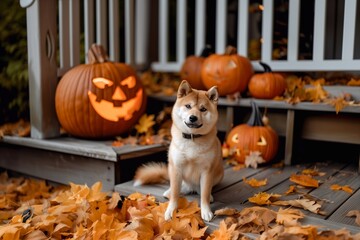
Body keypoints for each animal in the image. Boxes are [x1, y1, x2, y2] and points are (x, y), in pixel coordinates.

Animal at [134, 80, 224, 221]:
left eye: (203, 109)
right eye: (188, 106)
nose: (193, 117)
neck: (192, 138)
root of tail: (191, 187)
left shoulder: (207, 171)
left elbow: (204, 194)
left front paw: (206, 210)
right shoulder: (176, 168)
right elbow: (175, 194)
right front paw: (171, 210)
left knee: (204, 191)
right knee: (174, 189)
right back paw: (169, 191)